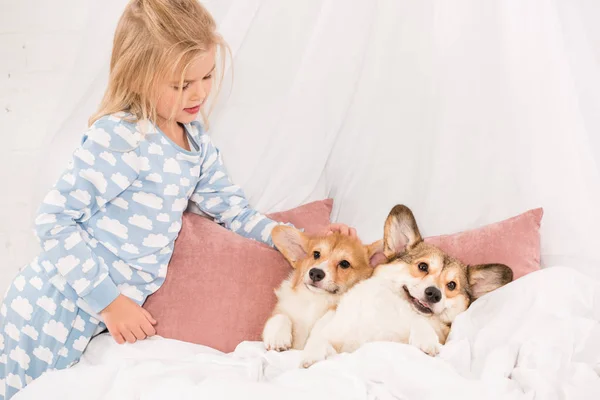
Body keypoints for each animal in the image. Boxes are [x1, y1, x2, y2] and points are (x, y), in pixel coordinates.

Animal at [302, 205, 512, 368]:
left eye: (452, 285)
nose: (434, 294)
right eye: (423, 266)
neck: (395, 307)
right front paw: (312, 355)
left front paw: (426, 340)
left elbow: (421, 323)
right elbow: (319, 339)